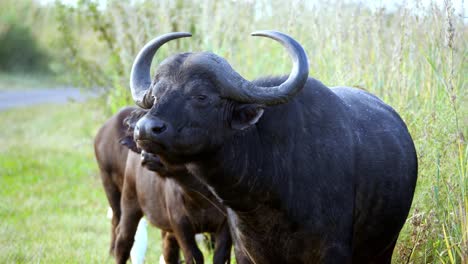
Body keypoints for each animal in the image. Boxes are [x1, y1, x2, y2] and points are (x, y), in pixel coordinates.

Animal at [94, 107, 232, 264]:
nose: (146, 155)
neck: (201, 197)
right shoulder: (180, 225)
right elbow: (194, 256)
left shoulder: (226, 226)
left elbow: (220, 256)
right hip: (125, 197)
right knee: (123, 238)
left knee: (168, 250)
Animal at [127, 29, 416, 262]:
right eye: (156, 95)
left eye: (201, 96)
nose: (145, 128)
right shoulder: (244, 252)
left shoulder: (334, 251)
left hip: (383, 249)